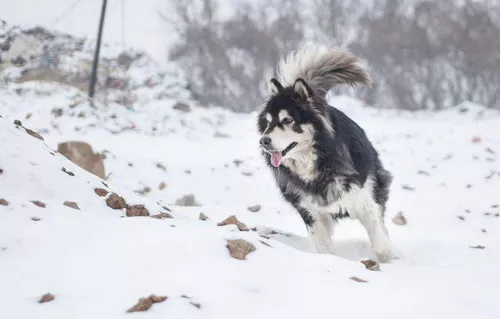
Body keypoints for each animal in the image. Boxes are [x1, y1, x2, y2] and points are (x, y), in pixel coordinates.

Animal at [258, 44, 394, 262]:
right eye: (269, 122)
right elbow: (323, 247)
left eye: (287, 120)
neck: (318, 163)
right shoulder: (309, 211)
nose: (263, 141)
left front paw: (386, 255)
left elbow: (379, 239)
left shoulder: (364, 198)